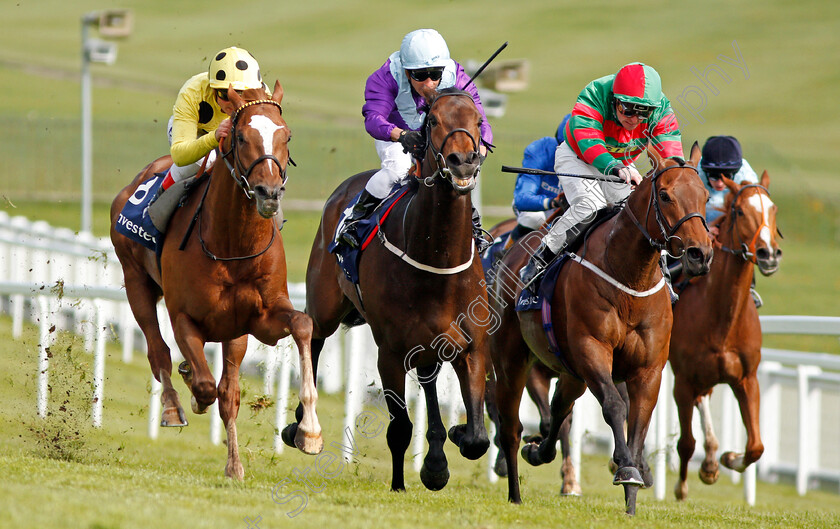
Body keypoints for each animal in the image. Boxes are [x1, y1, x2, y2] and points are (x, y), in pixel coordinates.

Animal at [110, 79, 324, 478]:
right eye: (240, 137)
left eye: (286, 135)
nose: (268, 193)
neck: (232, 244)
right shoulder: (183, 316)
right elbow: (206, 384)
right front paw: (192, 391)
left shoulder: (261, 319)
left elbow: (302, 326)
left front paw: (310, 432)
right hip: (135, 281)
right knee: (158, 351)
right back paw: (174, 405)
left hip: (234, 332)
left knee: (228, 390)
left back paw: (234, 461)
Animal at [286, 87, 488, 490]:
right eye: (433, 121)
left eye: (477, 119)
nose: (463, 162)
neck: (437, 260)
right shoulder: (389, 352)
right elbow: (399, 428)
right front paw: (399, 484)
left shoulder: (471, 345)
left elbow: (476, 437)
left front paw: (445, 452)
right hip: (325, 304)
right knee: (313, 338)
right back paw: (301, 426)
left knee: (428, 378)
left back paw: (436, 454)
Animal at [488, 143, 712, 512]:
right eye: (665, 196)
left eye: (705, 195)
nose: (700, 254)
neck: (630, 278)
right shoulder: (591, 348)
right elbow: (614, 406)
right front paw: (625, 467)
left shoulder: (649, 367)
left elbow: (639, 419)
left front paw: (634, 488)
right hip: (511, 358)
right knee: (510, 424)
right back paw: (514, 490)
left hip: (569, 371)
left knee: (559, 409)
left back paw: (538, 451)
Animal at [668, 170, 780, 500]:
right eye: (740, 211)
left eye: (773, 209)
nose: (769, 254)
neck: (722, 320)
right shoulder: (682, 381)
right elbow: (685, 443)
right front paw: (681, 487)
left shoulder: (747, 378)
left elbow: (756, 447)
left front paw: (728, 458)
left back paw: (711, 459)